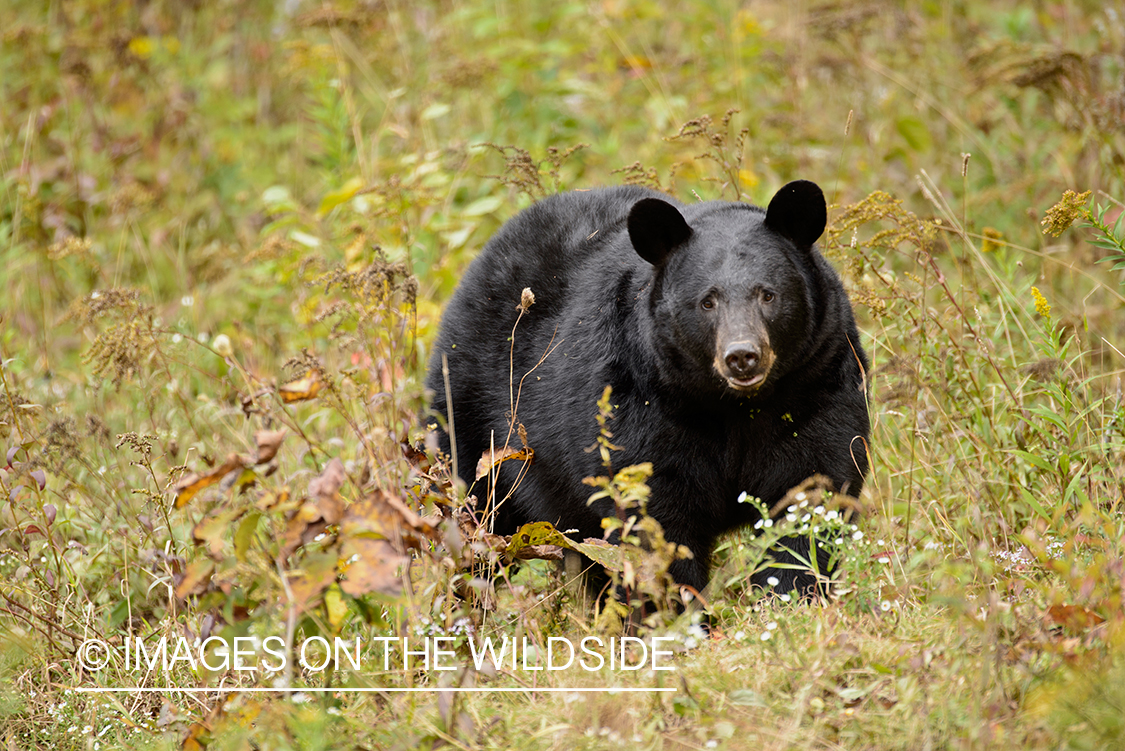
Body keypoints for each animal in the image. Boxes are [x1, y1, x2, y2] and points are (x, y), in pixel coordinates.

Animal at [423, 179, 868, 593]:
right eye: (707, 301)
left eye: (768, 295)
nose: (742, 356)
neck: (735, 406)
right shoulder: (640, 403)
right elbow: (654, 516)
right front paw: (673, 609)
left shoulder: (817, 383)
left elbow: (811, 492)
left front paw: (793, 593)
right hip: (474, 418)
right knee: (475, 515)